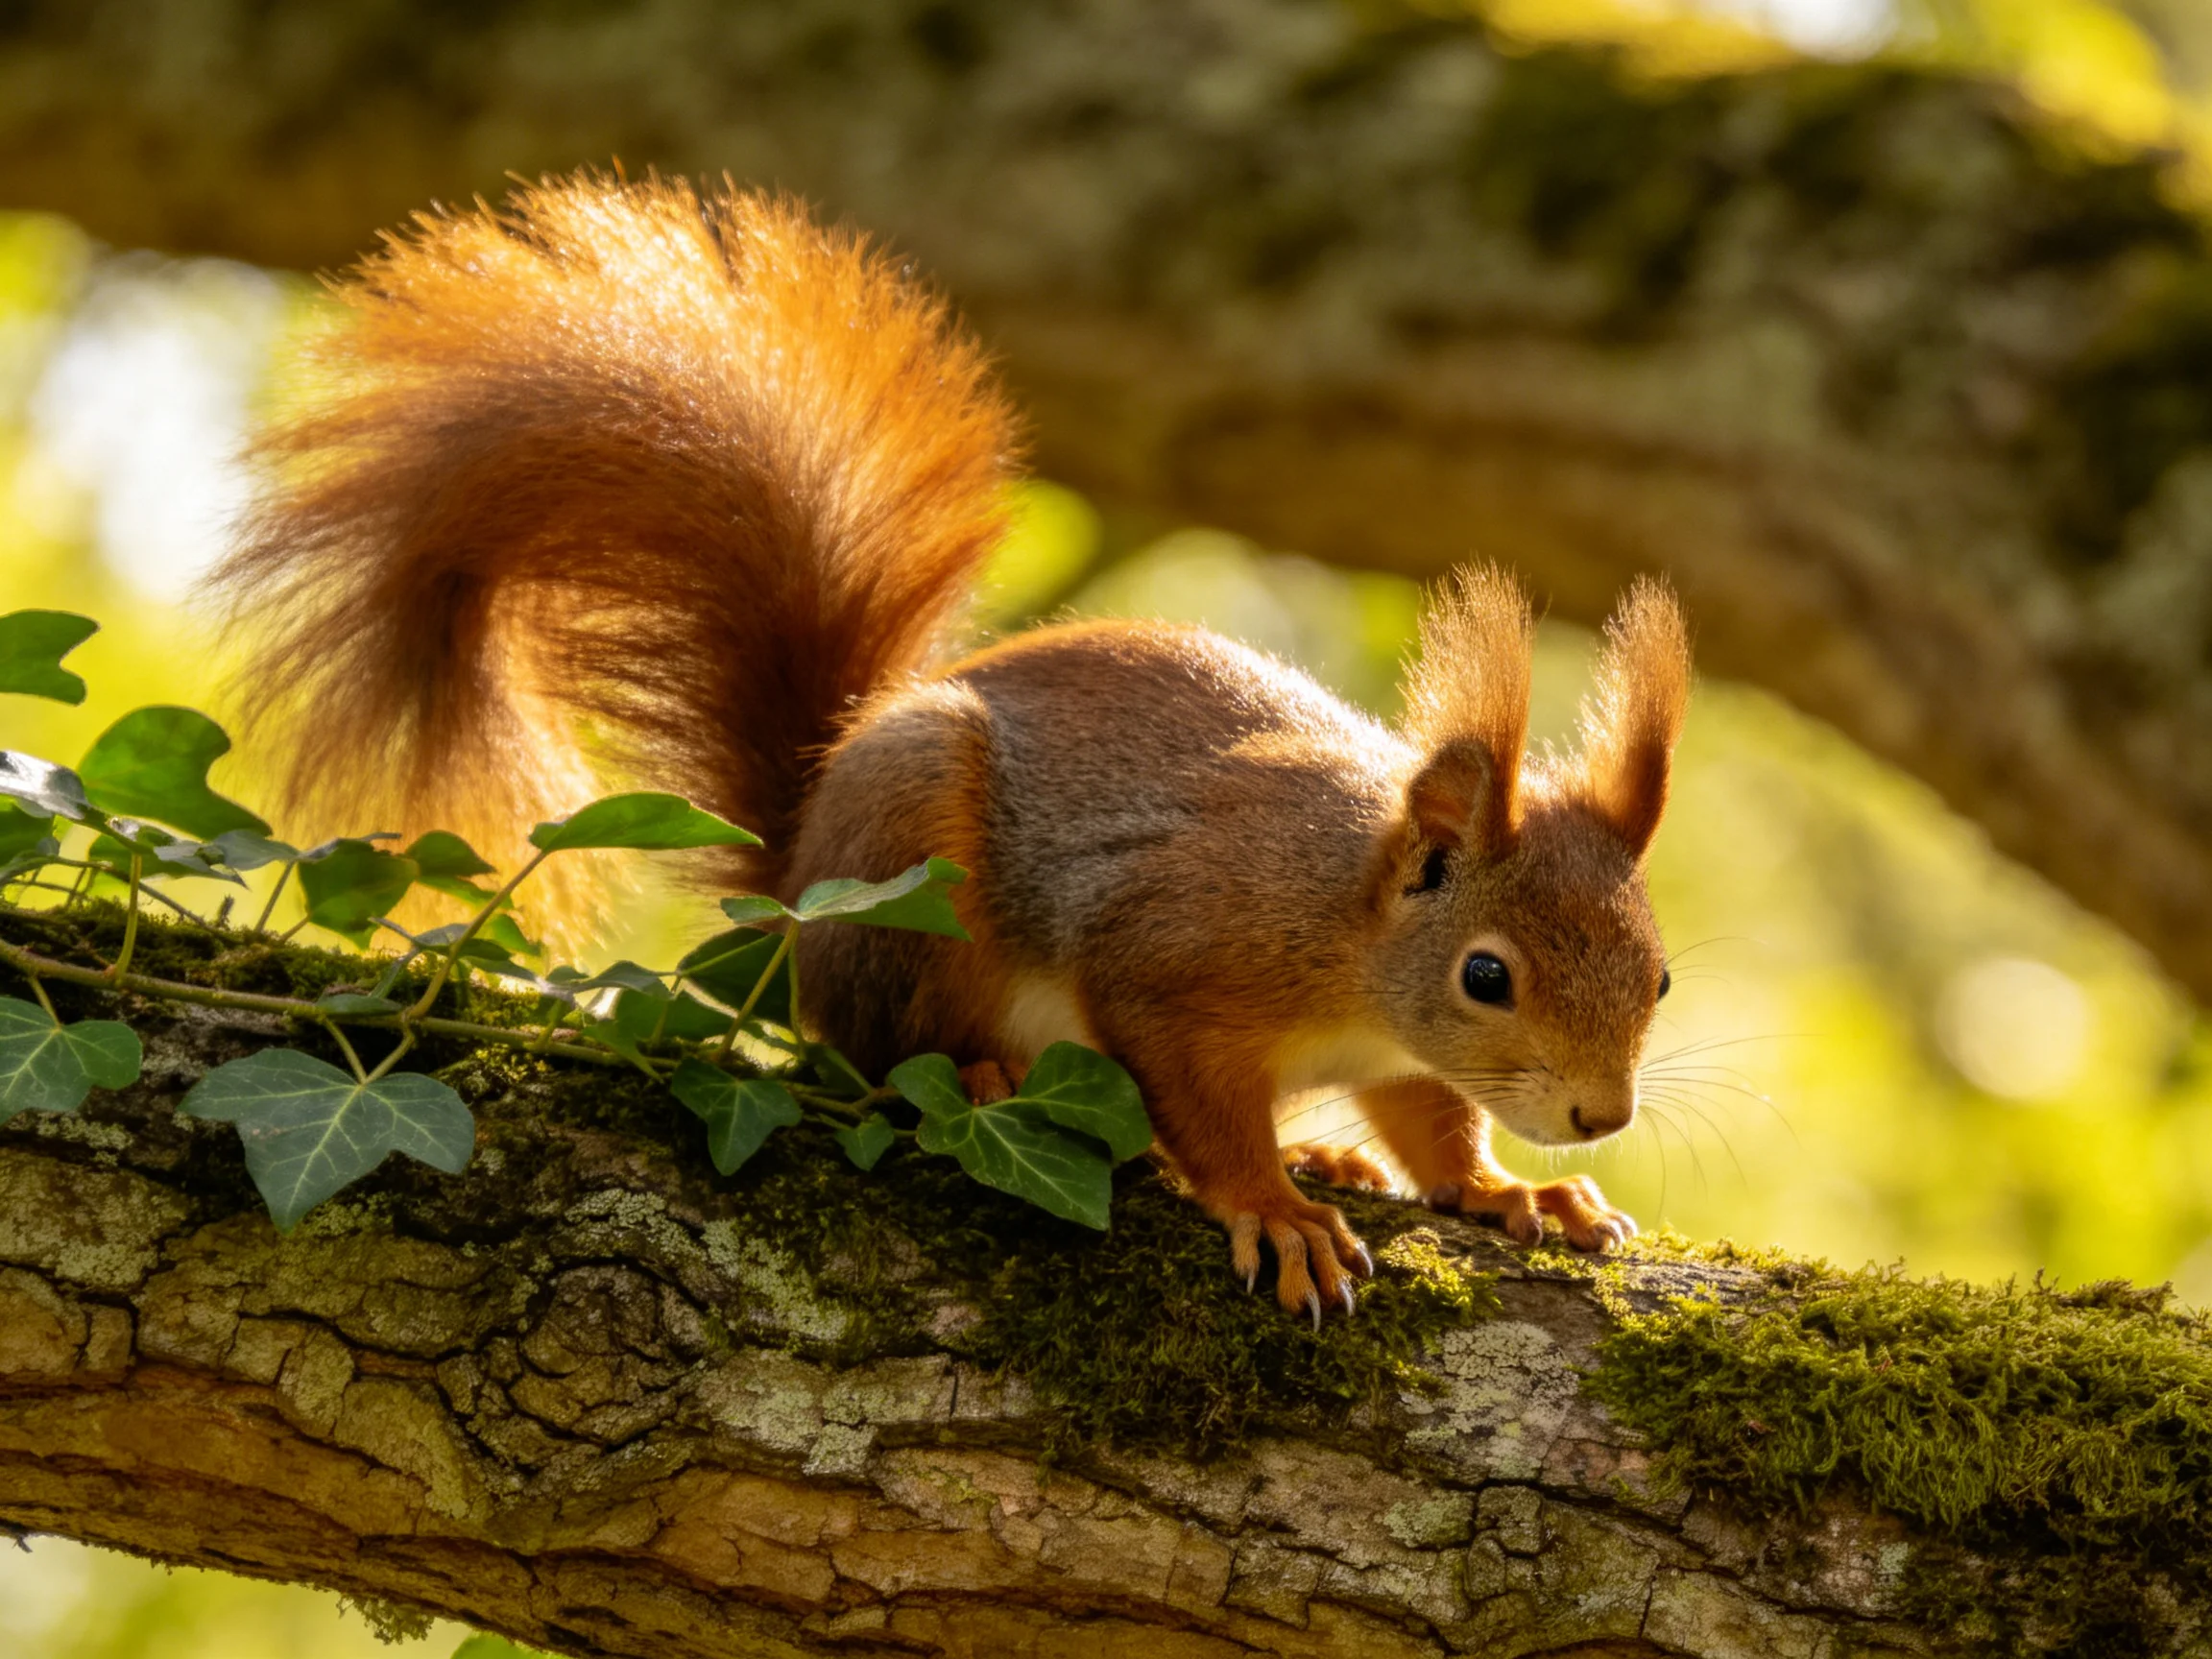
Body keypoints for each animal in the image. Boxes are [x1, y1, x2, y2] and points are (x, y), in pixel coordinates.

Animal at [216, 172, 1691, 1322]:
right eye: (1488, 976)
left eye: (1661, 977)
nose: (1603, 1116)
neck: (1352, 938)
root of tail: (801, 880)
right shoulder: (1174, 953)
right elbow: (1195, 1094)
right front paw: (1273, 1206)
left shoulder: (1392, 1059)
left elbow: (1433, 1120)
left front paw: (1511, 1190)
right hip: (913, 869)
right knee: (880, 1053)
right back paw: (998, 1080)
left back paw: (1334, 1158)